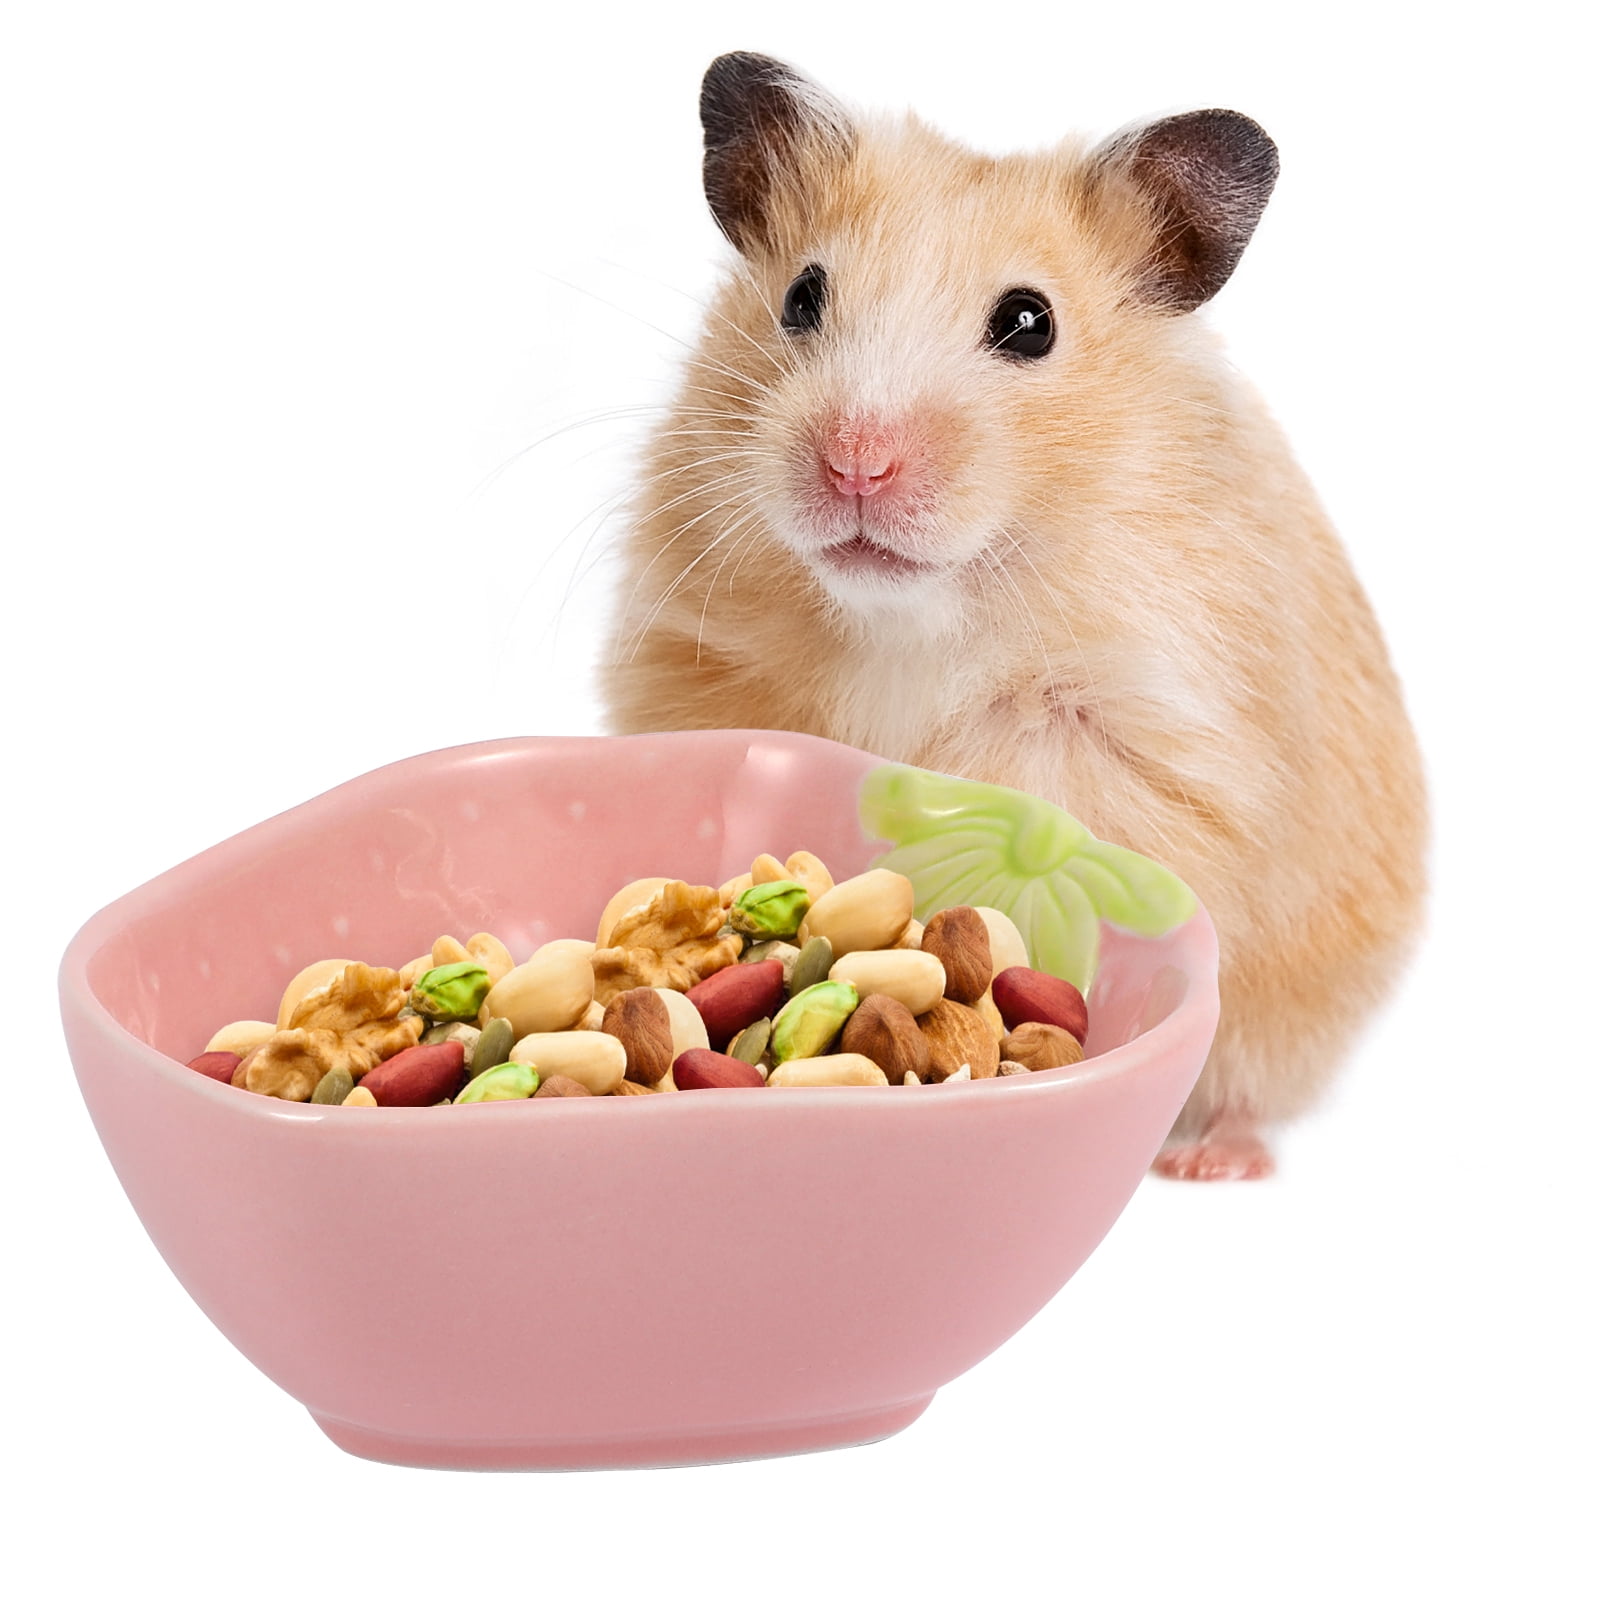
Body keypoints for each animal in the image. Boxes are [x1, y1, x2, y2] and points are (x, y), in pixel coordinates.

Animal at [600, 52, 1428, 1180]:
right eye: (802, 296)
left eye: (1030, 323)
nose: (854, 466)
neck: (916, 613)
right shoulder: (697, 666)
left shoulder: (1125, 733)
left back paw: (1210, 1161)